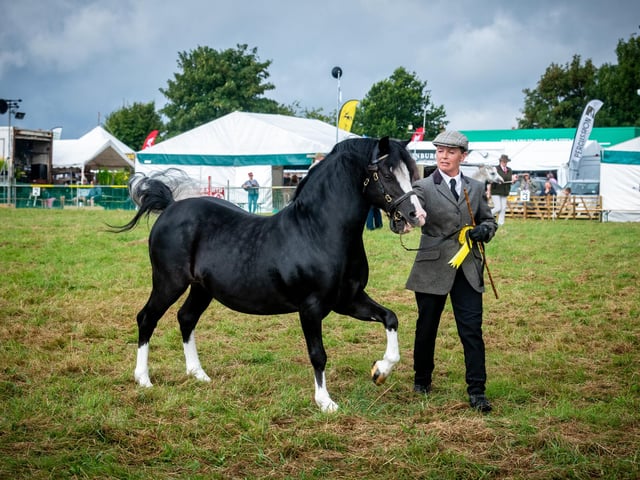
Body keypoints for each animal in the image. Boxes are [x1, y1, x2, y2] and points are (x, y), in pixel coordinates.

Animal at [116, 137, 427, 412]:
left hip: (201, 289)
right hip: (169, 283)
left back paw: (198, 374)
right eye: (386, 173)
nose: (417, 216)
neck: (318, 230)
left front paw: (380, 371)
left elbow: (390, 318)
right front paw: (325, 402)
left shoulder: (348, 300)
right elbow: (318, 354)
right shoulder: (311, 308)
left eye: (410, 172)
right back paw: (143, 379)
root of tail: (170, 207)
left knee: (186, 318)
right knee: (147, 318)